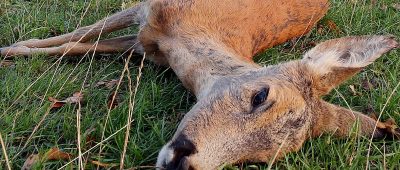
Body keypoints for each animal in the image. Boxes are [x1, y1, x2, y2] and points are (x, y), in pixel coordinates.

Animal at [0, 0, 400, 169]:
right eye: (260, 95)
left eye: (257, 160)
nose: (183, 163)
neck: (181, 37)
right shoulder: (146, 10)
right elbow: (79, 35)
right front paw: (11, 48)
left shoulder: (145, 46)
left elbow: (83, 46)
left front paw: (14, 50)